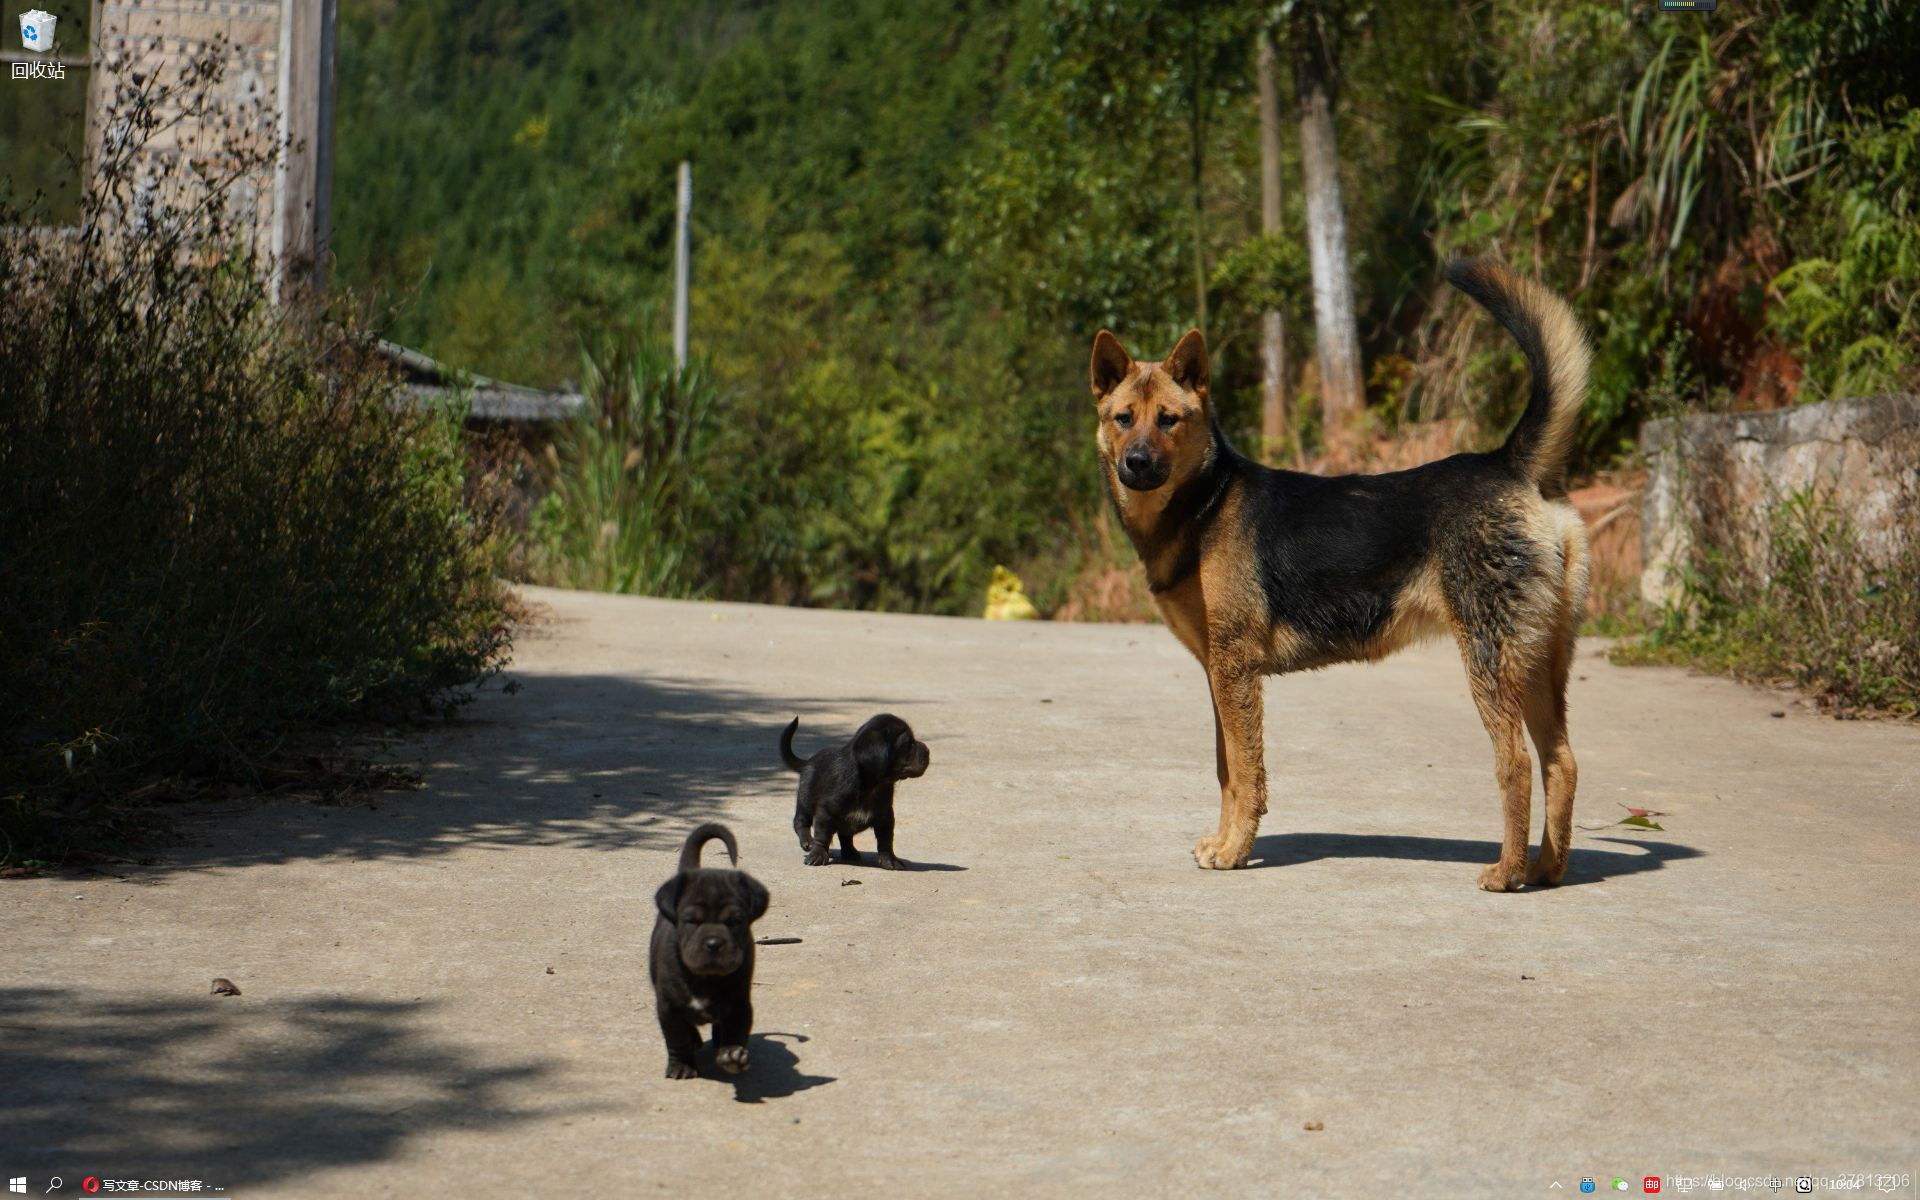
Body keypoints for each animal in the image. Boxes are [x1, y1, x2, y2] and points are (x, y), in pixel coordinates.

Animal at [645, 821, 764, 1075]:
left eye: (735, 921)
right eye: (691, 921)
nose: (713, 944)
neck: (705, 978)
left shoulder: (739, 1003)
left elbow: (735, 1030)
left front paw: (731, 1054)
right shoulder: (668, 1005)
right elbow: (677, 1037)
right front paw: (682, 1065)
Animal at [779, 710, 929, 871]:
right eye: (908, 742)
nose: (928, 750)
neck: (871, 786)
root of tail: (807, 762)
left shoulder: (886, 815)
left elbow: (886, 840)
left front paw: (890, 860)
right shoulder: (826, 812)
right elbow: (822, 836)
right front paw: (817, 854)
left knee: (845, 836)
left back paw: (849, 851)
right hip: (805, 800)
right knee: (801, 822)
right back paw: (807, 840)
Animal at [1098, 257, 1589, 890]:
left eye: (1169, 421)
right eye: (1123, 419)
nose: (1137, 464)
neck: (1203, 502)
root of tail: (1510, 465)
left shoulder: (1235, 672)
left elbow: (1247, 774)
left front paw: (1234, 851)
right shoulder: (1217, 674)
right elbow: (1226, 770)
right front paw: (1225, 841)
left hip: (1491, 662)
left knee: (1517, 764)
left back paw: (1507, 871)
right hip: (1536, 665)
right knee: (1562, 763)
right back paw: (1548, 867)